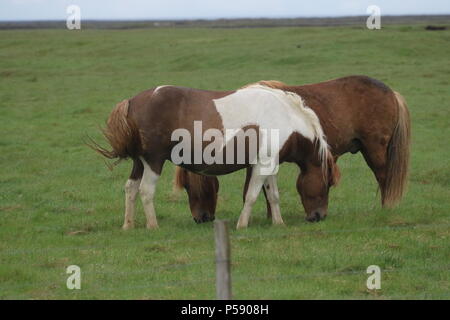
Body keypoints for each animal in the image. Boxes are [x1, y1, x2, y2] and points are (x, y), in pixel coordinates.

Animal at [89, 81, 340, 229]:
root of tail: (132, 101)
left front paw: (278, 223)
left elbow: (272, 195)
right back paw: (153, 226)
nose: (319, 216)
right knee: (145, 190)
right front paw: (242, 225)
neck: (285, 116)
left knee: (130, 188)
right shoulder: (262, 165)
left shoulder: (269, 164)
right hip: (153, 161)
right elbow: (252, 195)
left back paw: (128, 225)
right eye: (327, 183)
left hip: (139, 162)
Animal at [173, 76, 412, 224]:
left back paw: (386, 209)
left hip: (374, 150)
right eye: (186, 187)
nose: (201, 218)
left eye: (192, 187)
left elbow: (251, 190)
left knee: (384, 177)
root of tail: (392, 93)